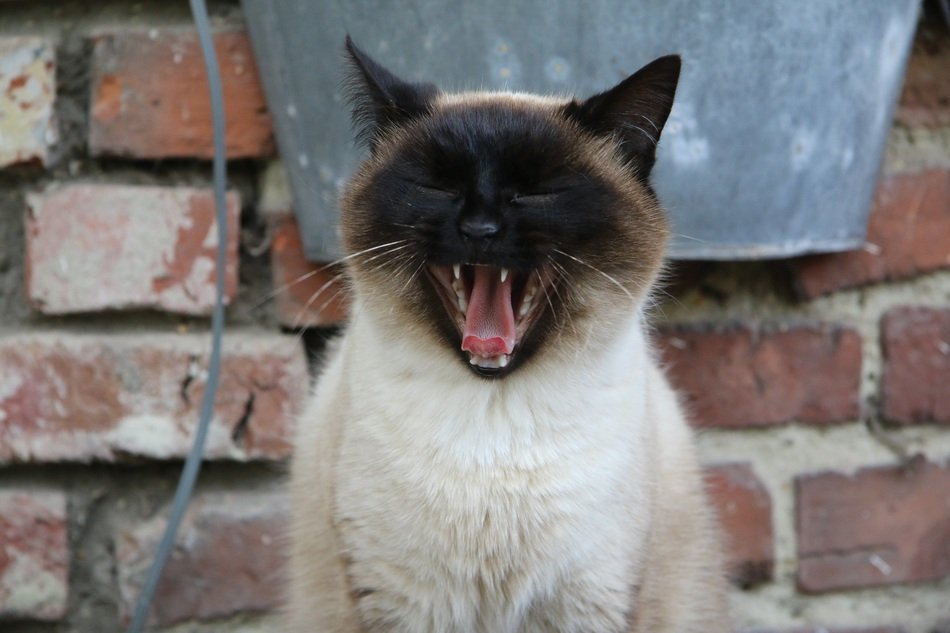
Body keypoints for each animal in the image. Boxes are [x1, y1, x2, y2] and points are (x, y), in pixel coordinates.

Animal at [286, 37, 732, 628]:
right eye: (438, 187)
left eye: (535, 194)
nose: (480, 230)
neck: (492, 418)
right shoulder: (398, 601)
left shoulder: (589, 600)